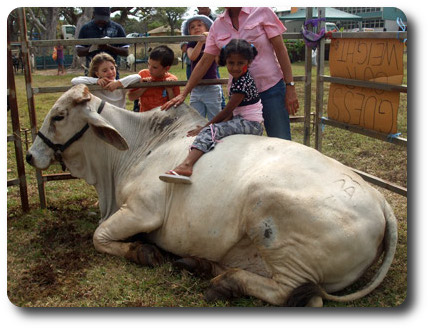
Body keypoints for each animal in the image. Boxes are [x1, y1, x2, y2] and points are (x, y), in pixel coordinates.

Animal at [26, 84, 396, 306]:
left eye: (59, 115)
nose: (30, 156)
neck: (137, 147)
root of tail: (380, 201)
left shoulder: (143, 212)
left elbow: (98, 236)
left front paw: (142, 251)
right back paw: (200, 264)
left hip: (272, 221)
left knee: (292, 293)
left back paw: (225, 282)